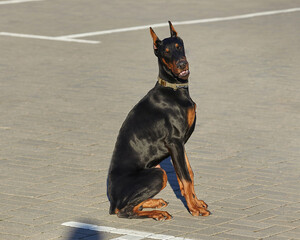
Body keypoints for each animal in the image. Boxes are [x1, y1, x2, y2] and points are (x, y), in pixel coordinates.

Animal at [107, 21, 209, 220]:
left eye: (179, 46)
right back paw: (157, 212)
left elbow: (189, 173)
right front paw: (194, 209)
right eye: (166, 52)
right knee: (124, 211)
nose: (182, 64)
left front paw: (196, 202)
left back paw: (155, 202)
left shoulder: (180, 143)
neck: (174, 88)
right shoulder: (175, 141)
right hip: (158, 173)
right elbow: (185, 178)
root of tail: (112, 201)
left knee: (134, 205)